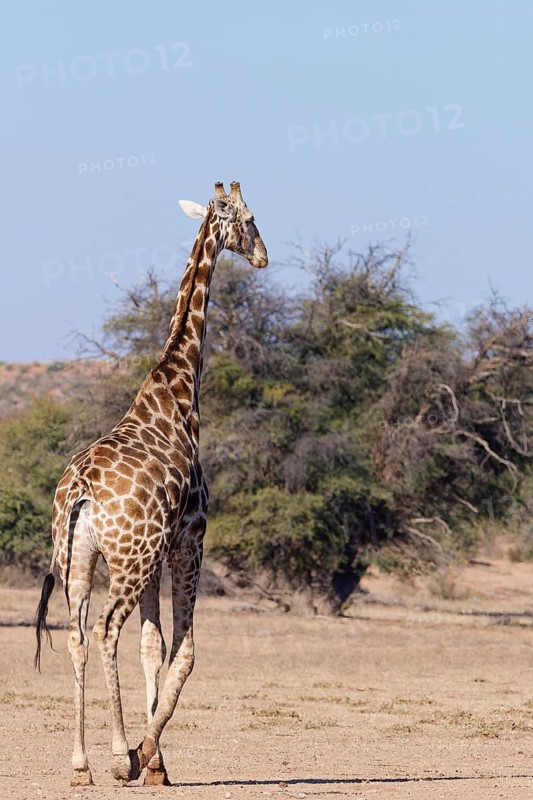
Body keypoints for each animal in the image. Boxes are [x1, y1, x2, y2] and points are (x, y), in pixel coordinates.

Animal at [34, 180, 268, 787]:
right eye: (249, 219)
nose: (263, 256)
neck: (178, 395)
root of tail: (81, 492)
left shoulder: (160, 553)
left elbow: (152, 645)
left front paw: (156, 759)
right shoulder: (188, 541)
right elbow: (183, 651)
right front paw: (147, 754)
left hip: (80, 559)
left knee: (78, 634)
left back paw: (80, 764)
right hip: (130, 558)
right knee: (106, 629)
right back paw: (118, 754)